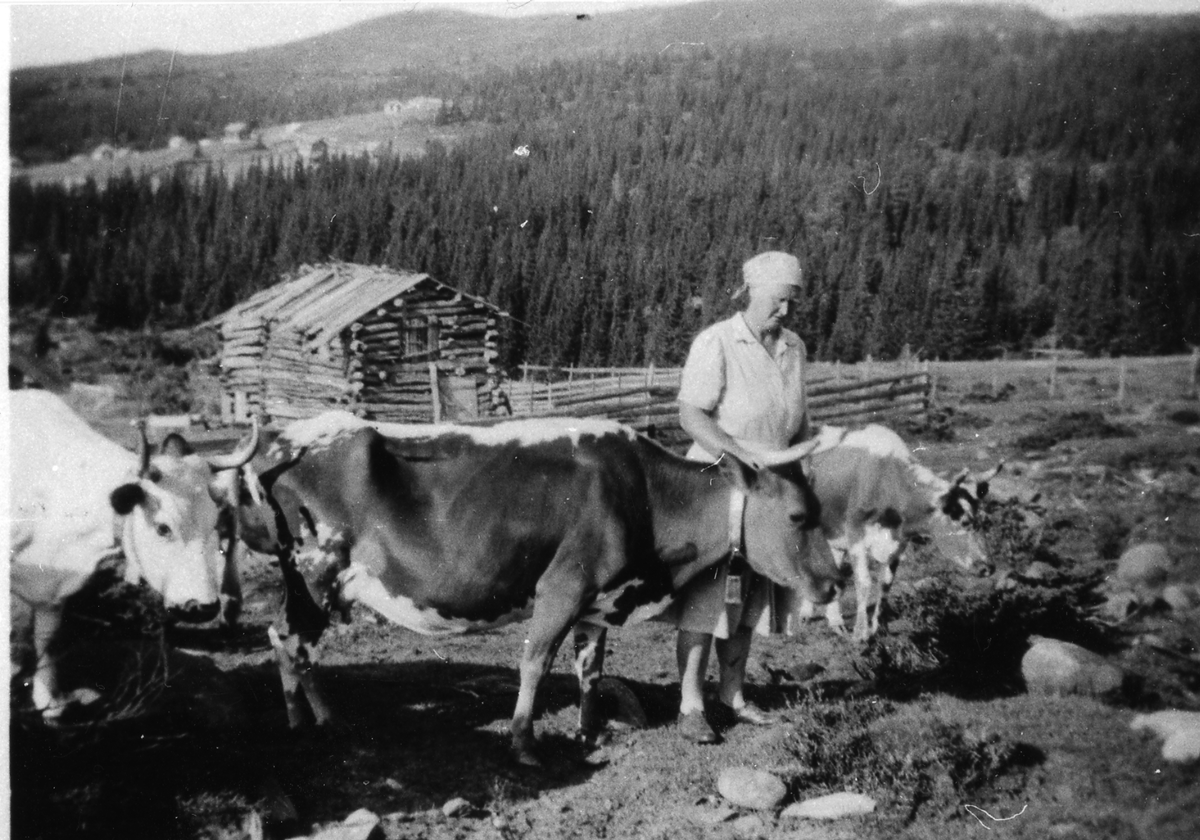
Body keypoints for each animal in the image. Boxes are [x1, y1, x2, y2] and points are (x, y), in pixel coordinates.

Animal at [9, 391, 258, 720]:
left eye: (215, 522)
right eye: (163, 528)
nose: (202, 608)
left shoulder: (52, 592)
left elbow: (46, 640)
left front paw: (49, 702)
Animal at [229, 410, 840, 763]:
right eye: (798, 516)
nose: (835, 583)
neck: (643, 494)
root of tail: (283, 441)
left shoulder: (598, 599)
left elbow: (589, 668)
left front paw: (589, 732)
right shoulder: (563, 587)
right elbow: (535, 662)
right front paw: (523, 741)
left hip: (303, 580)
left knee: (278, 636)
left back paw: (297, 719)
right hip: (316, 574)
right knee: (297, 643)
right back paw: (327, 722)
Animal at [787, 427, 1003, 643]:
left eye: (984, 520)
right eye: (964, 522)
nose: (989, 567)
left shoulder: (898, 543)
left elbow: (885, 584)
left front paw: (878, 629)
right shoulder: (855, 533)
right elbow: (864, 583)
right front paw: (860, 633)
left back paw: (834, 621)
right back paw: (799, 618)